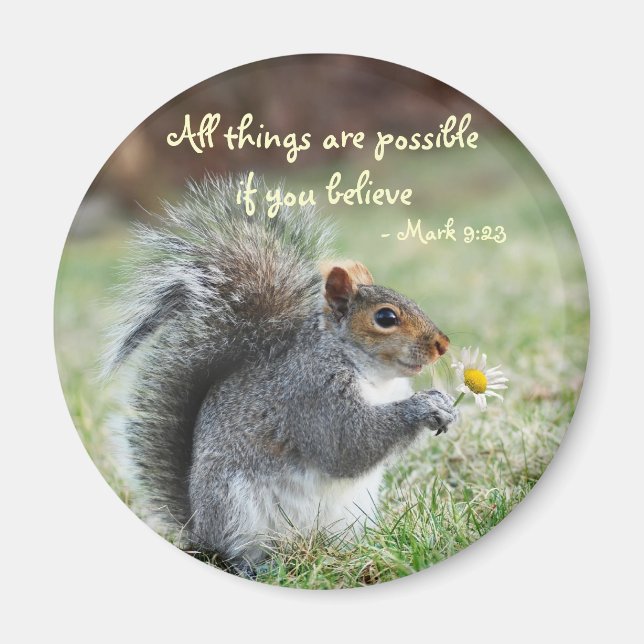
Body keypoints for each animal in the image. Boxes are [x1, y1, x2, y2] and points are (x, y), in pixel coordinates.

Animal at [106, 174, 458, 572]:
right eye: (386, 317)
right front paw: (424, 407)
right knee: (240, 552)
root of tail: (199, 531)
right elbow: (347, 443)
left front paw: (445, 404)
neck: (373, 376)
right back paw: (260, 566)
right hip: (236, 508)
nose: (443, 344)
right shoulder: (311, 394)